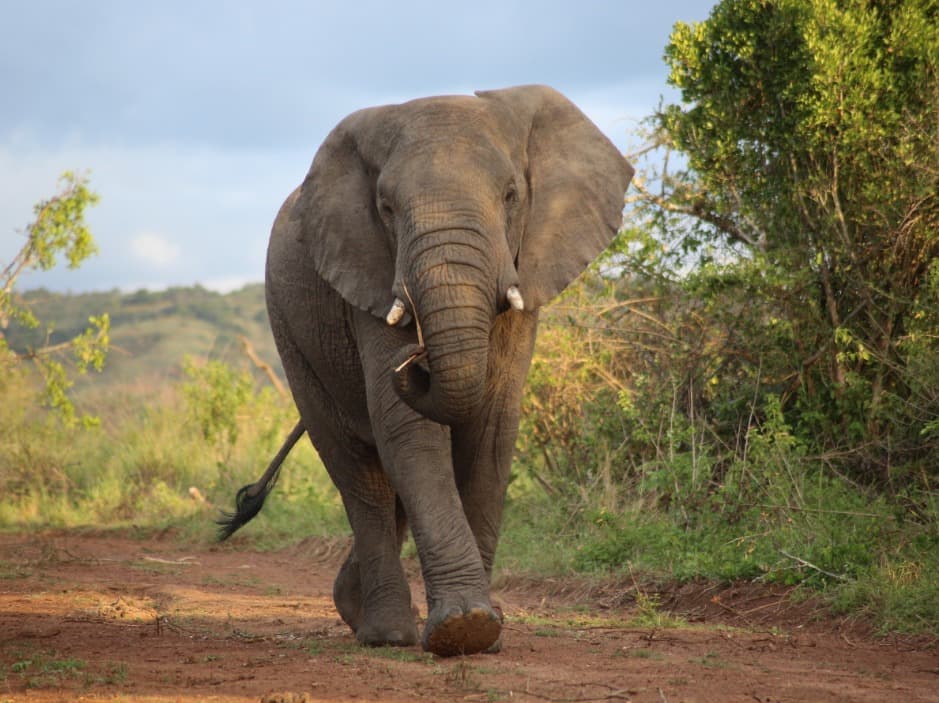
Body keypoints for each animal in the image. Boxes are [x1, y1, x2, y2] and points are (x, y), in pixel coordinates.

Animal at [218, 85, 634, 657]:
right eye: (386, 208)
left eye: (511, 195)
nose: (417, 360)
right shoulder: (367, 270)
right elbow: (410, 431)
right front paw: (465, 627)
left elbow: (491, 429)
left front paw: (482, 631)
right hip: (290, 333)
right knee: (360, 474)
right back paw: (387, 634)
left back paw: (366, 611)